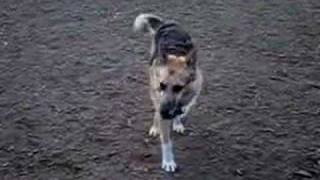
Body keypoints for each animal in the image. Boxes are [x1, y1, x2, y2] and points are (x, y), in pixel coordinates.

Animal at [133, 13, 202, 172]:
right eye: (162, 85)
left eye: (178, 88)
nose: (164, 112)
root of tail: (166, 23)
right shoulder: (159, 95)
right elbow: (166, 142)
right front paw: (168, 161)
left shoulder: (189, 98)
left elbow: (181, 110)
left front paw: (177, 121)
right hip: (152, 86)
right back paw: (155, 125)